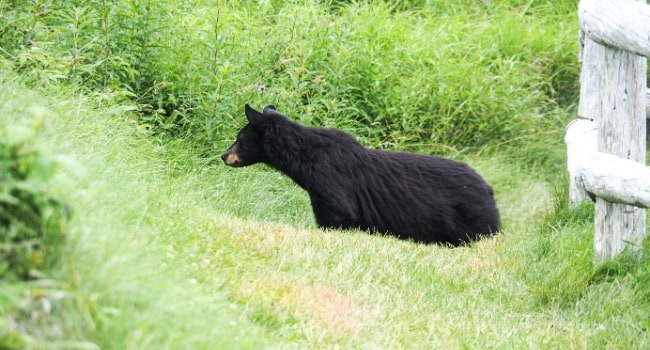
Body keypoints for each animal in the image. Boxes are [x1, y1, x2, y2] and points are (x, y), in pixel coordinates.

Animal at [220, 104, 498, 246]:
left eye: (239, 138)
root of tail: (489, 190)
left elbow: (337, 217)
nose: (224, 156)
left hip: (472, 221)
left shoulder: (330, 185)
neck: (305, 157)